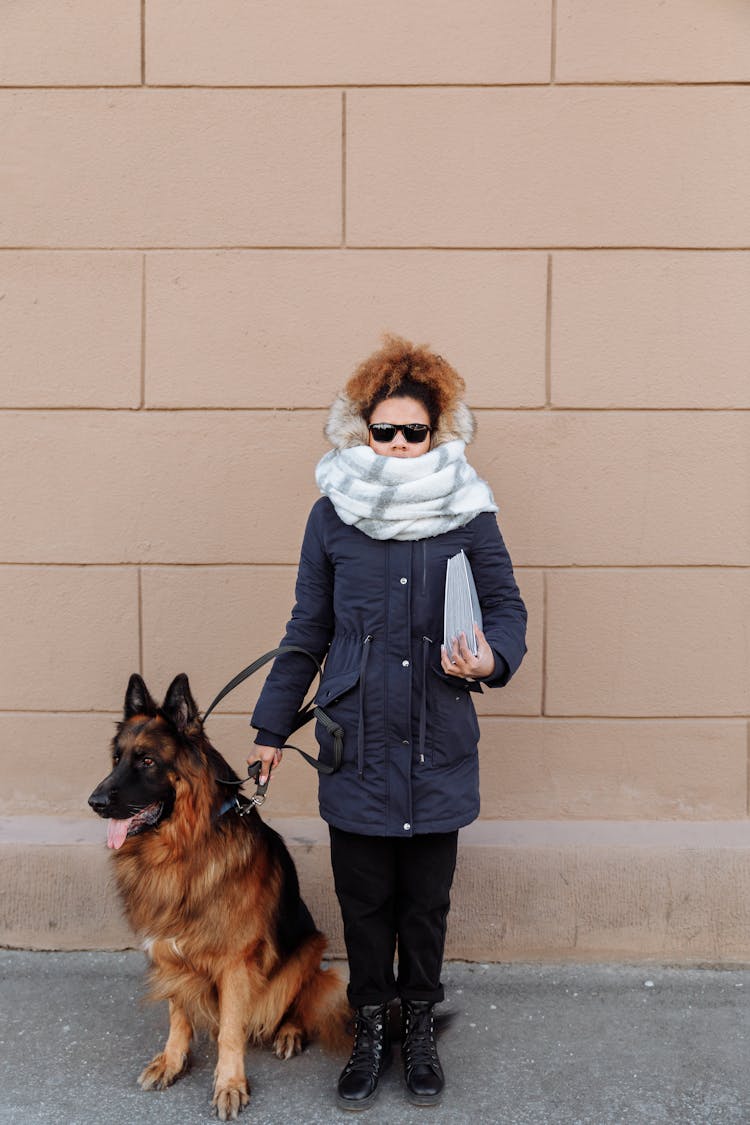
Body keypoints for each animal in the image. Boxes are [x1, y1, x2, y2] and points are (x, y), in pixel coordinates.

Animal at [86, 670, 350, 1120]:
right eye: (116, 758)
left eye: (146, 761)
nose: (95, 802)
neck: (183, 848)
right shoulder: (168, 952)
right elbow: (178, 1014)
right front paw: (173, 1061)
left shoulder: (236, 963)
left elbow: (230, 1030)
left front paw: (229, 1084)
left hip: (310, 947)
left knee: (303, 998)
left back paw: (290, 1031)